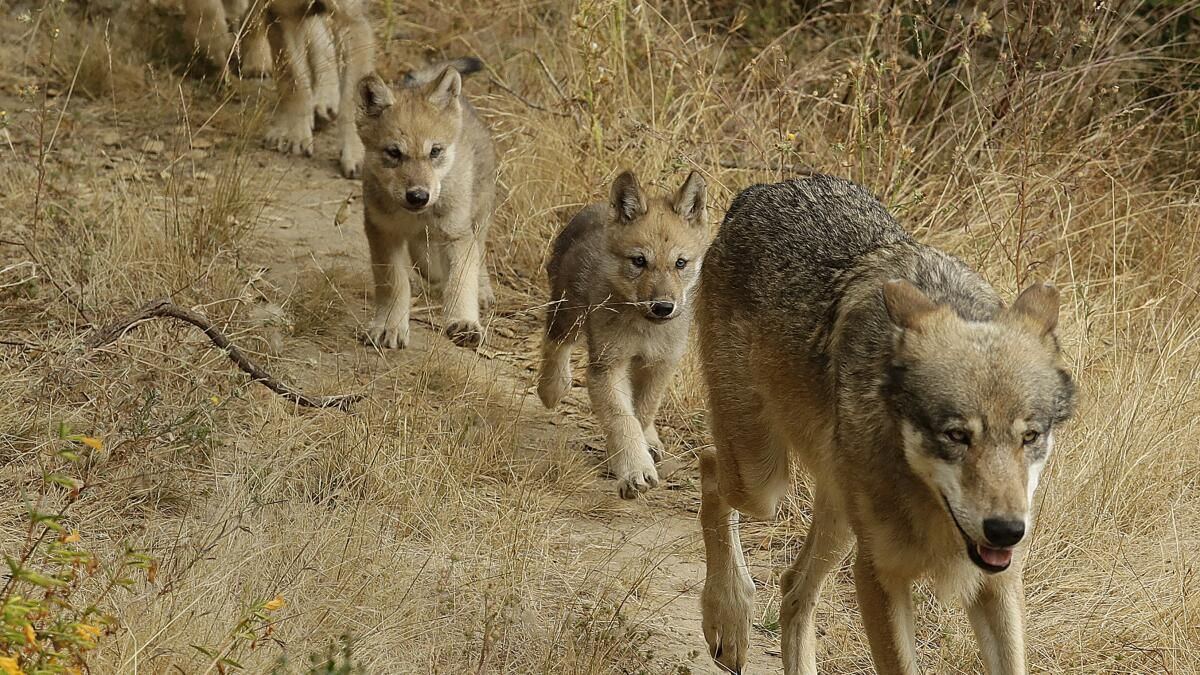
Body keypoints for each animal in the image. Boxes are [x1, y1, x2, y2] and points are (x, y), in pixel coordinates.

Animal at [182, 0, 374, 178]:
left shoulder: (352, 19)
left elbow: (352, 102)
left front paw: (356, 153)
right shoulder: (282, 14)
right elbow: (294, 78)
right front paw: (294, 135)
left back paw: (323, 104)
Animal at [355, 58, 497, 351]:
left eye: (435, 151)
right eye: (393, 153)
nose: (419, 196)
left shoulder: (457, 234)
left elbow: (461, 280)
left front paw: (464, 322)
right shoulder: (382, 232)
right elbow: (394, 284)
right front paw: (390, 326)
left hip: (478, 217)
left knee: (479, 253)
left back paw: (483, 290)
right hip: (425, 252)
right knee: (429, 264)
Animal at [537, 170, 708, 499]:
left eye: (680, 263)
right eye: (639, 261)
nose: (663, 307)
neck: (645, 330)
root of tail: (595, 207)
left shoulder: (660, 365)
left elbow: (642, 413)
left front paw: (631, 457)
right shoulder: (607, 366)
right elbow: (622, 419)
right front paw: (634, 470)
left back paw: (652, 442)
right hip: (568, 313)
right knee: (554, 345)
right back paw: (552, 388)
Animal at [696, 174, 1077, 674]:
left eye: (1029, 437)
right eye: (957, 435)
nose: (1007, 530)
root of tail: (761, 189)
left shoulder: (998, 582)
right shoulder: (878, 574)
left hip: (834, 516)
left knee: (793, 586)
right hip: (764, 483)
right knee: (709, 468)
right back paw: (728, 618)